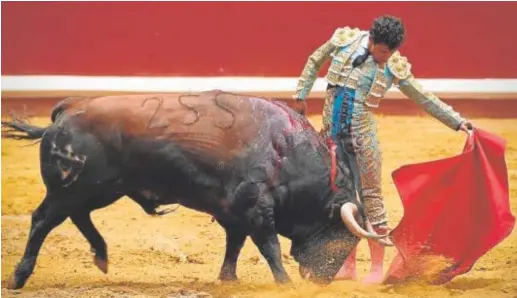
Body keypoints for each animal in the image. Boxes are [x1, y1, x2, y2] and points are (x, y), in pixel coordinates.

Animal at [1, 90, 392, 288]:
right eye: (342, 237)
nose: (321, 282)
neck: (287, 151)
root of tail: (68, 109)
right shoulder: (256, 207)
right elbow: (269, 247)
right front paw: (285, 284)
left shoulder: (235, 211)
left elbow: (235, 244)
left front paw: (228, 279)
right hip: (72, 189)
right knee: (42, 220)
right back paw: (19, 277)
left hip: (99, 190)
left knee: (78, 216)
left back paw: (101, 256)